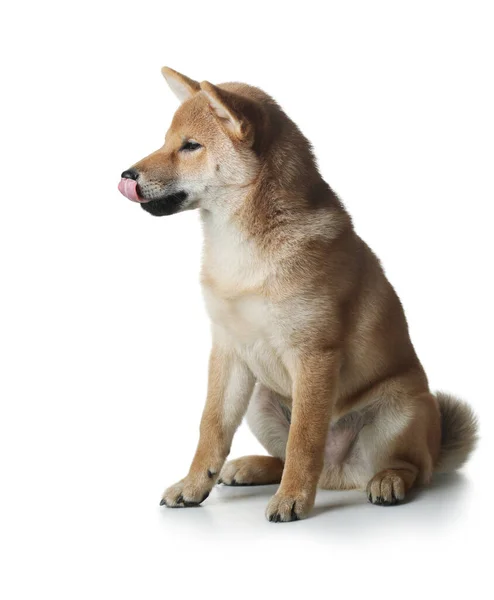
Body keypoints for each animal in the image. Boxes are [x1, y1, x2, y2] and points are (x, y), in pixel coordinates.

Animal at [117, 68, 476, 524]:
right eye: (166, 141)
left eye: (191, 146)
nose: (127, 175)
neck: (241, 249)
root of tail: (340, 474)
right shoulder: (228, 351)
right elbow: (211, 429)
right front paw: (193, 486)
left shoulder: (313, 355)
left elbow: (305, 439)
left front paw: (292, 499)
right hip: (261, 401)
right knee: (286, 456)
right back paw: (251, 468)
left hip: (401, 409)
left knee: (413, 466)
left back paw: (387, 480)